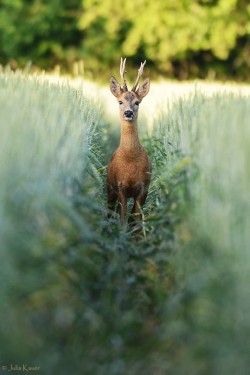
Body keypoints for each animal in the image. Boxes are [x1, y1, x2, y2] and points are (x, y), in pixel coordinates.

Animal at [106, 58, 151, 229]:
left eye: (137, 102)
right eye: (120, 101)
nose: (128, 112)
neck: (130, 158)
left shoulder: (143, 189)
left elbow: (135, 222)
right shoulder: (120, 188)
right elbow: (122, 221)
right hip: (108, 187)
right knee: (108, 210)